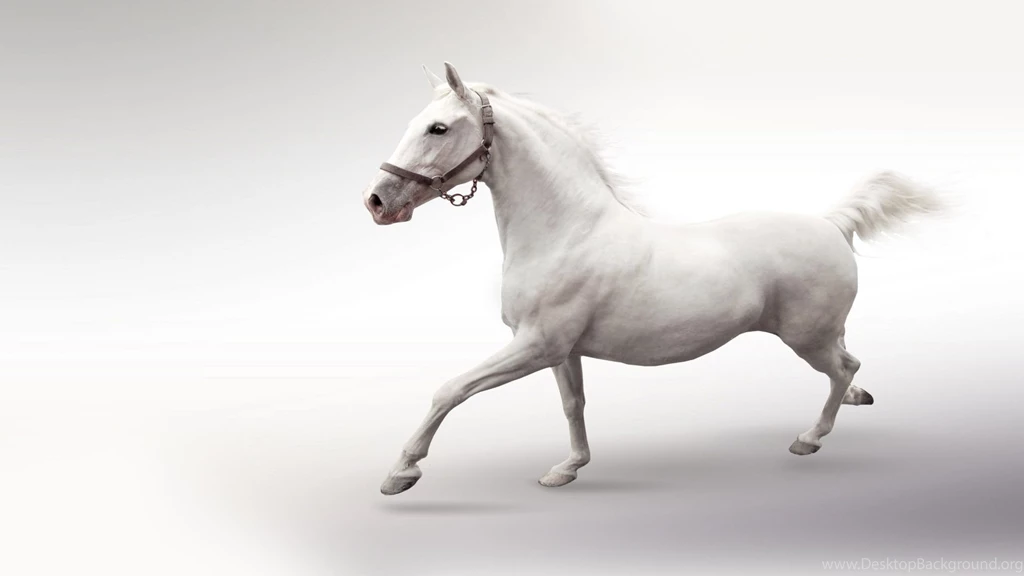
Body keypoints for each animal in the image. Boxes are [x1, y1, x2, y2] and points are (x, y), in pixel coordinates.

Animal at [361, 62, 944, 496]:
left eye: (438, 128)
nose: (378, 202)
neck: (565, 231)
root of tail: (832, 223)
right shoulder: (561, 351)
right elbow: (573, 406)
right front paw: (567, 469)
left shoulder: (535, 345)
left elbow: (450, 389)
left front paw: (401, 472)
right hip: (821, 332)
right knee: (849, 365)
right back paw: (855, 401)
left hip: (807, 337)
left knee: (843, 367)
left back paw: (809, 438)